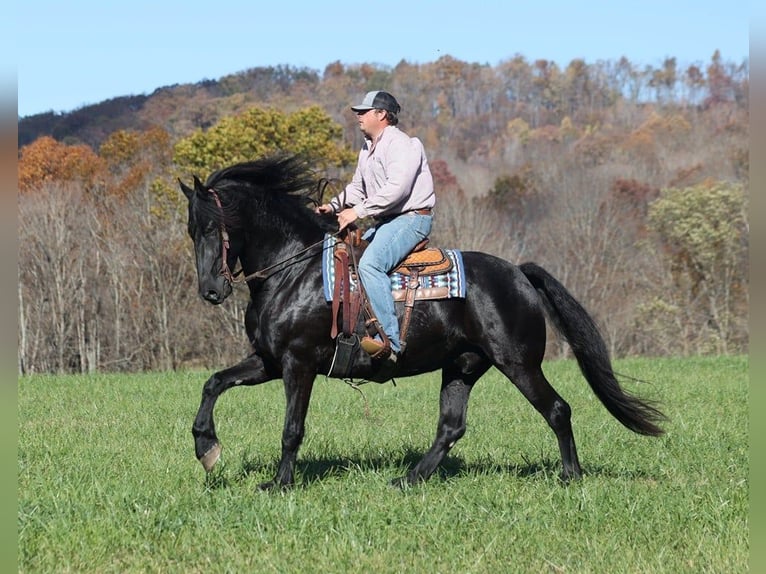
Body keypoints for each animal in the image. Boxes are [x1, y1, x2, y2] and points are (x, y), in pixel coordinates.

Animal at [182, 156, 664, 490]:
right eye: (192, 229)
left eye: (214, 226)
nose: (211, 291)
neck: (293, 272)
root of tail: (518, 273)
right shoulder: (268, 360)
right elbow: (213, 383)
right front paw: (207, 448)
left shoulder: (298, 364)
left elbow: (291, 429)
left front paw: (280, 483)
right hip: (463, 366)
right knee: (452, 426)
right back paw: (410, 478)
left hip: (519, 364)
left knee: (557, 409)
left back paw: (570, 475)